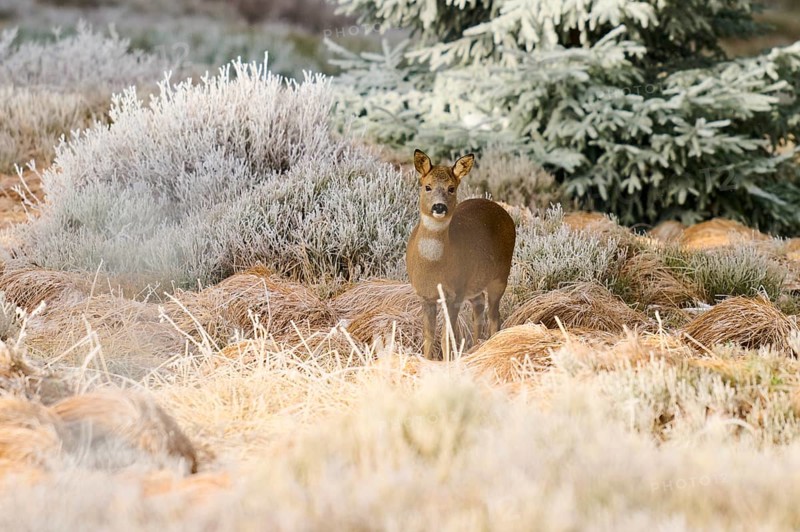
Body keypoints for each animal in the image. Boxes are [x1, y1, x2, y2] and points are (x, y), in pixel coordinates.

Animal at [406, 149, 516, 360]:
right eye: (427, 186)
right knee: (479, 307)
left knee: (494, 316)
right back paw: (475, 346)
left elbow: (447, 337)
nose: (439, 207)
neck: (433, 267)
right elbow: (428, 336)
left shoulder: (454, 294)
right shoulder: (425, 295)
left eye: (451, 188)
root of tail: (501, 209)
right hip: (473, 284)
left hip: (500, 276)